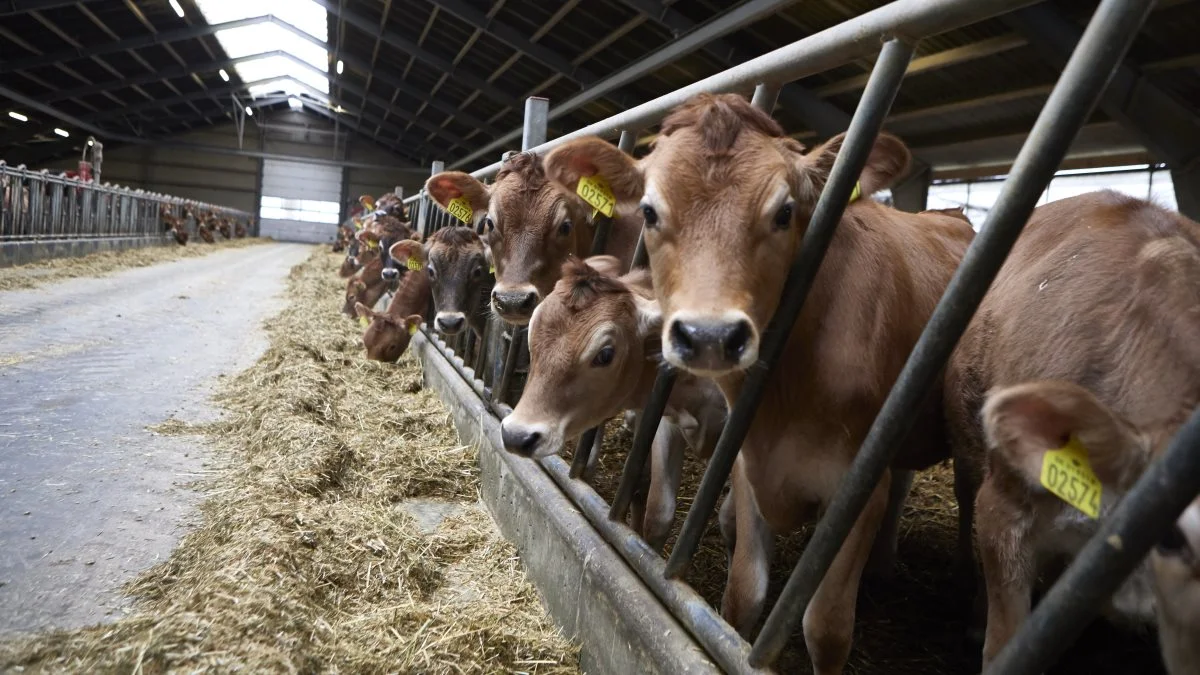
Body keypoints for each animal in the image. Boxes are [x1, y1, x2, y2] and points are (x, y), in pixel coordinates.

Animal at [544, 91, 974, 667]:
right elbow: (742, 593)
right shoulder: (748, 463)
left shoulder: (858, 493)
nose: (708, 335)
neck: (791, 391)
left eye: (785, 211)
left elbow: (826, 628)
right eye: (651, 212)